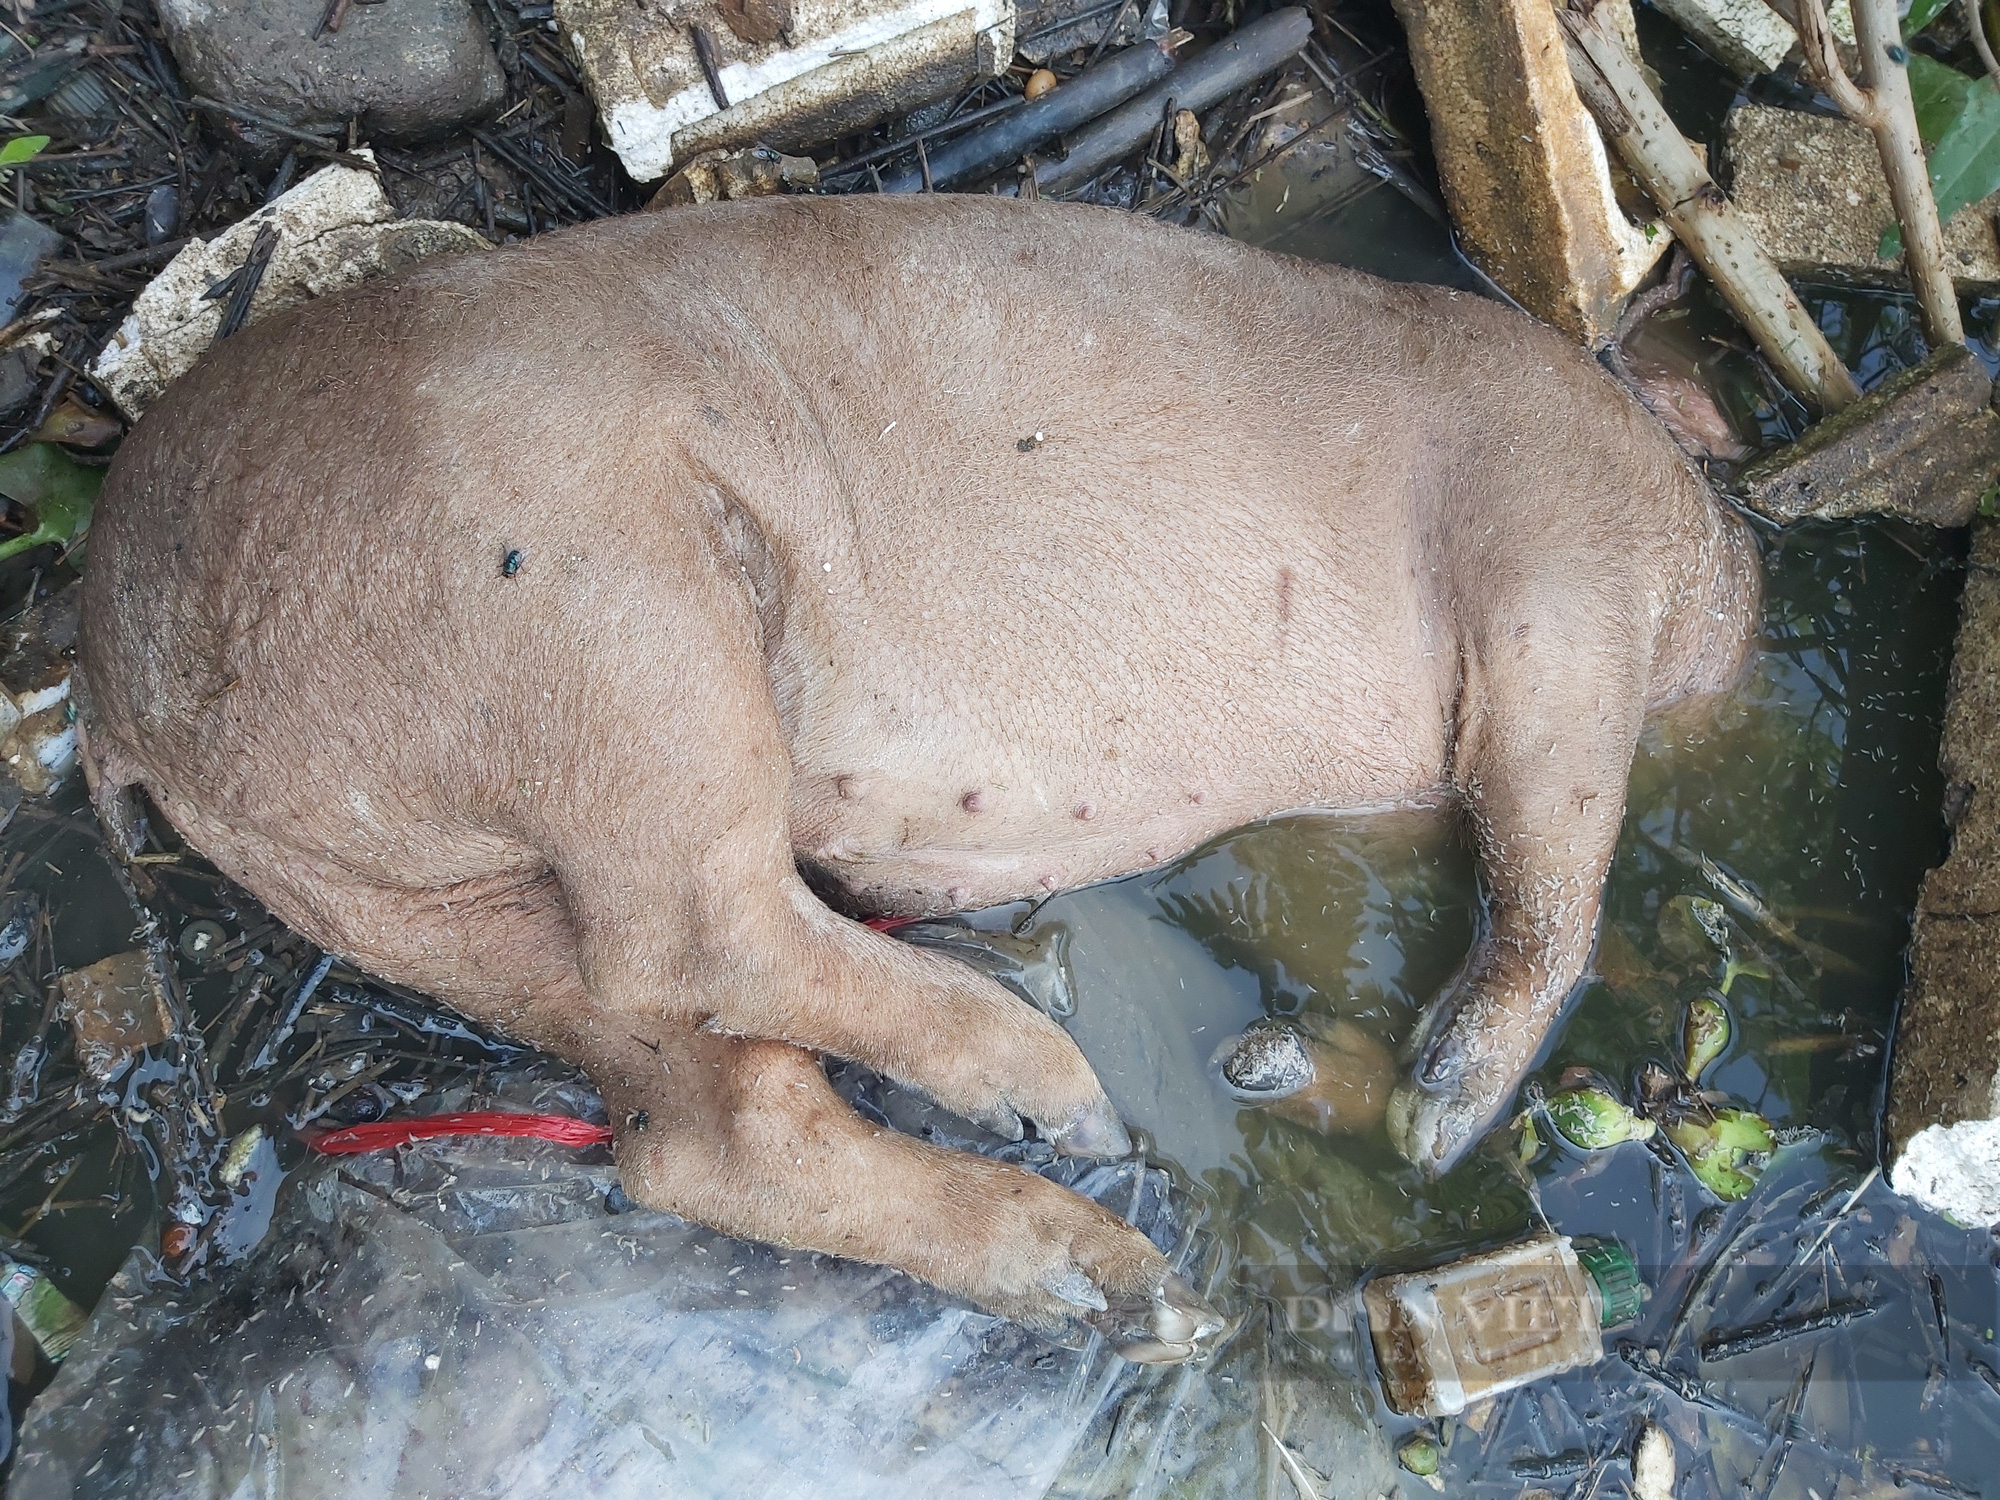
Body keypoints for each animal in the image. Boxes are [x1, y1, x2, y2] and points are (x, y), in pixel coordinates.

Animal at [70, 200, 1760, 1360]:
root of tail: (113, 677)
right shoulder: (1557, 569)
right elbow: (1555, 858)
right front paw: (1432, 1123)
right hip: (599, 611)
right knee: (701, 934)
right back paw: (1068, 1098)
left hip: (408, 888)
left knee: (691, 1111)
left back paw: (1134, 1294)